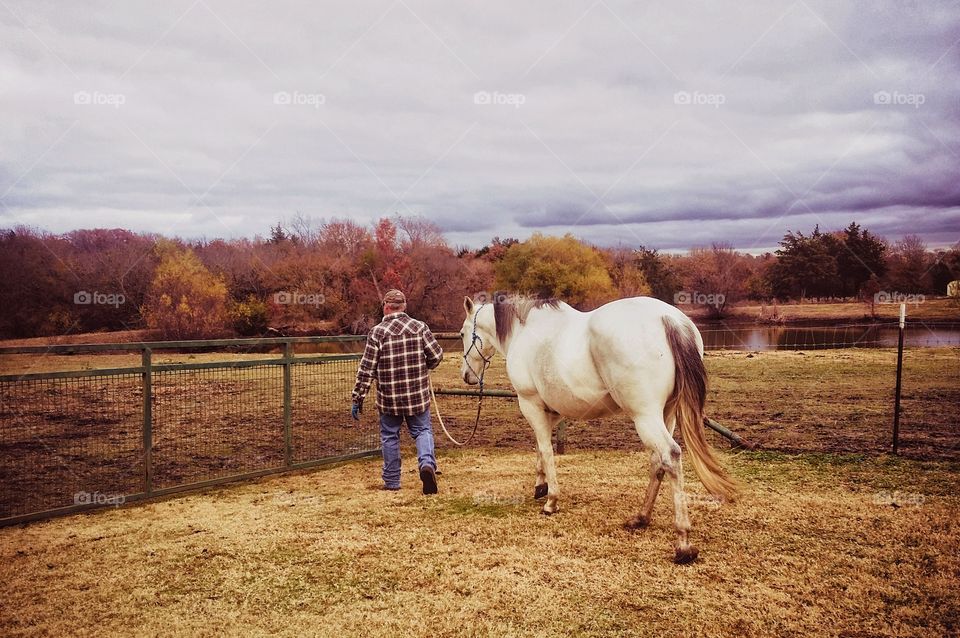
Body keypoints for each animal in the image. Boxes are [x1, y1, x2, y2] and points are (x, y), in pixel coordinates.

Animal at [458, 292, 737, 564]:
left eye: (461, 334)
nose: (467, 376)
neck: (523, 330)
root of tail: (669, 319)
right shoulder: (552, 413)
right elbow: (540, 447)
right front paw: (541, 486)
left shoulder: (531, 404)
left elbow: (546, 450)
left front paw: (551, 501)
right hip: (666, 416)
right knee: (658, 462)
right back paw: (640, 518)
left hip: (645, 416)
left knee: (670, 455)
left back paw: (683, 544)